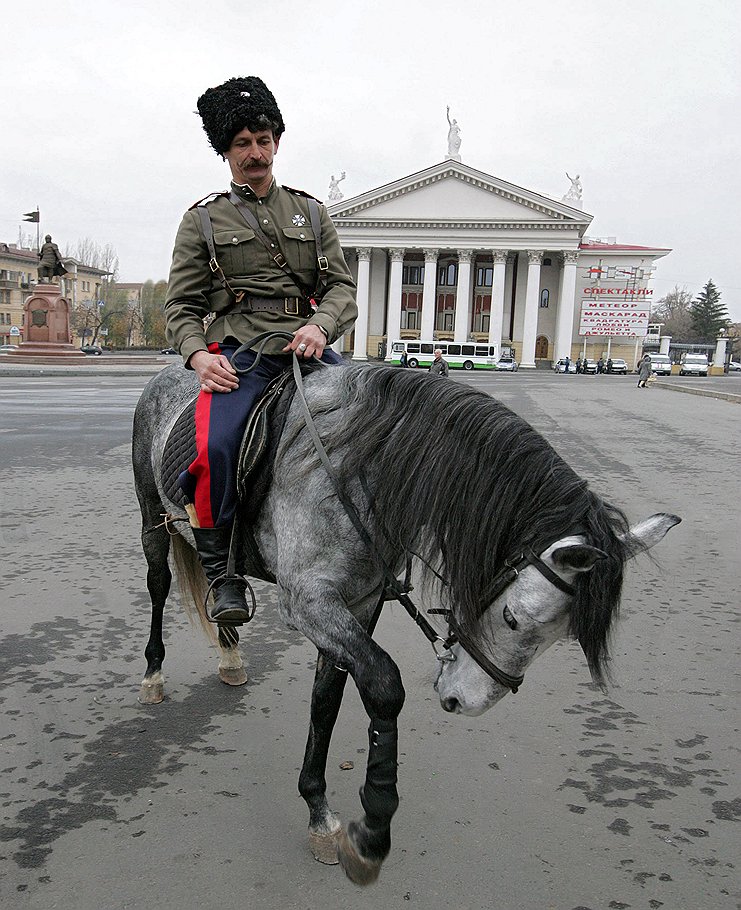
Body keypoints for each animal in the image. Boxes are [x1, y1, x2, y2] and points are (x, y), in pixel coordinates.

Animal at [132, 360, 676, 888]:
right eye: (511, 617)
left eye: (563, 637)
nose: (464, 701)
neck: (356, 463)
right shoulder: (309, 603)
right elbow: (384, 686)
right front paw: (372, 827)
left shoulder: (360, 601)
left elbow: (327, 700)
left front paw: (319, 811)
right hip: (152, 520)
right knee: (159, 584)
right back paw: (153, 674)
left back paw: (229, 652)